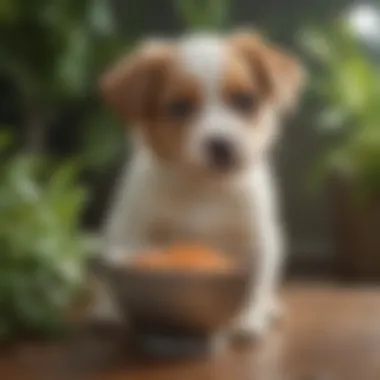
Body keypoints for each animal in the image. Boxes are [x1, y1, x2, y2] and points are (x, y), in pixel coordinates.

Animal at [95, 30, 306, 338]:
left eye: (244, 101)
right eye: (179, 107)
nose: (221, 145)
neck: (205, 187)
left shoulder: (258, 237)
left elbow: (256, 282)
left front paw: (249, 318)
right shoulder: (135, 229)